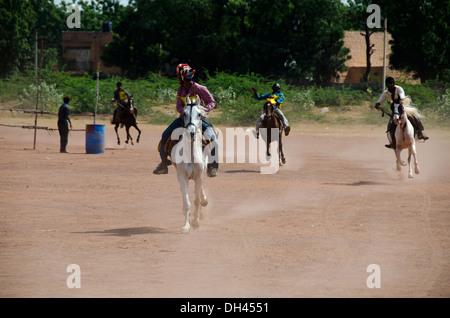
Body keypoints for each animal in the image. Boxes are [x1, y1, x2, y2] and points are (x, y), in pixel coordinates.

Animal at [171, 95, 208, 232]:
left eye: (199, 114)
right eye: (184, 113)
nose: (191, 132)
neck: (191, 155)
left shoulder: (198, 176)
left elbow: (196, 200)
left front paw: (196, 222)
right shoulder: (183, 177)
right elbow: (187, 202)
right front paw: (186, 225)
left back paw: (204, 201)